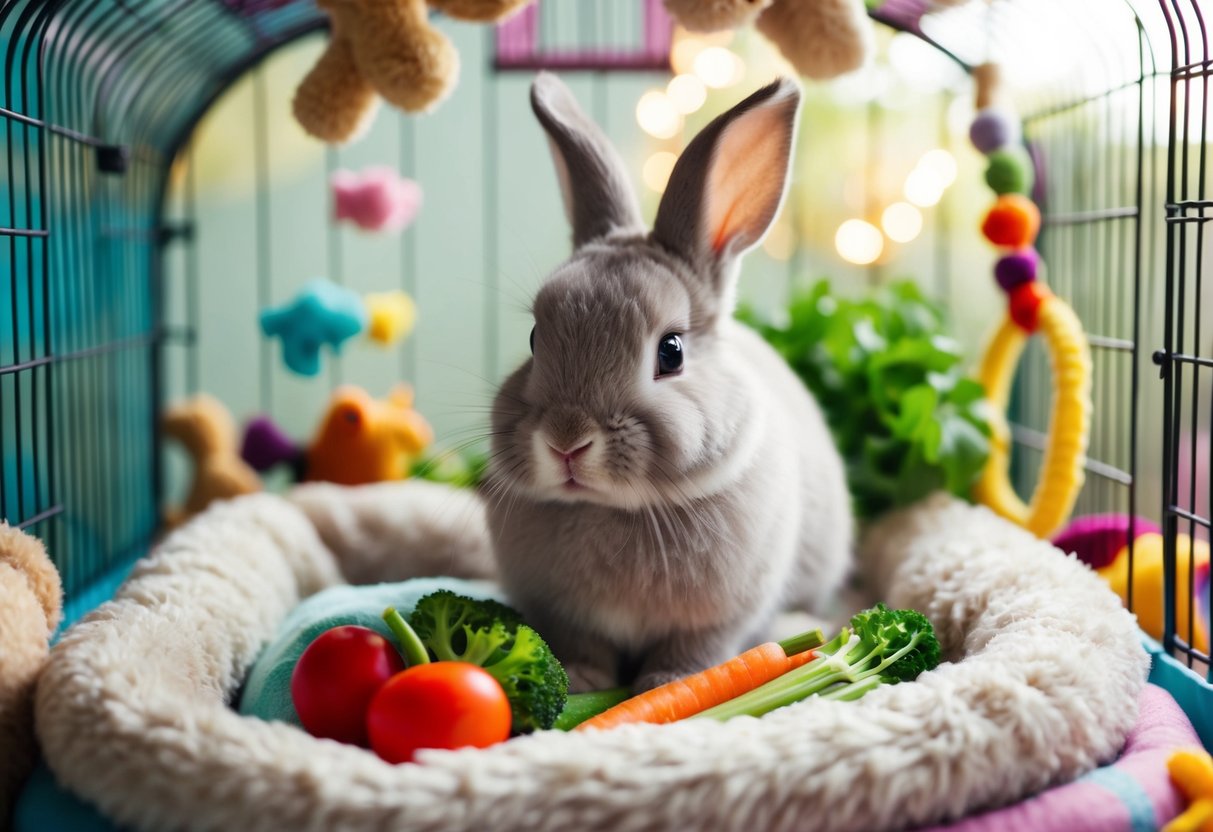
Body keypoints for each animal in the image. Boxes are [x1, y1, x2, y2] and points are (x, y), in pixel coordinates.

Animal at [484, 72, 853, 693]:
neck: (617, 510)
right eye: (535, 338)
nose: (566, 442)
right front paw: (582, 682)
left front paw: (666, 685)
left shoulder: (715, 621)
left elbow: (694, 650)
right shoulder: (570, 619)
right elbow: (583, 647)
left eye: (672, 351)